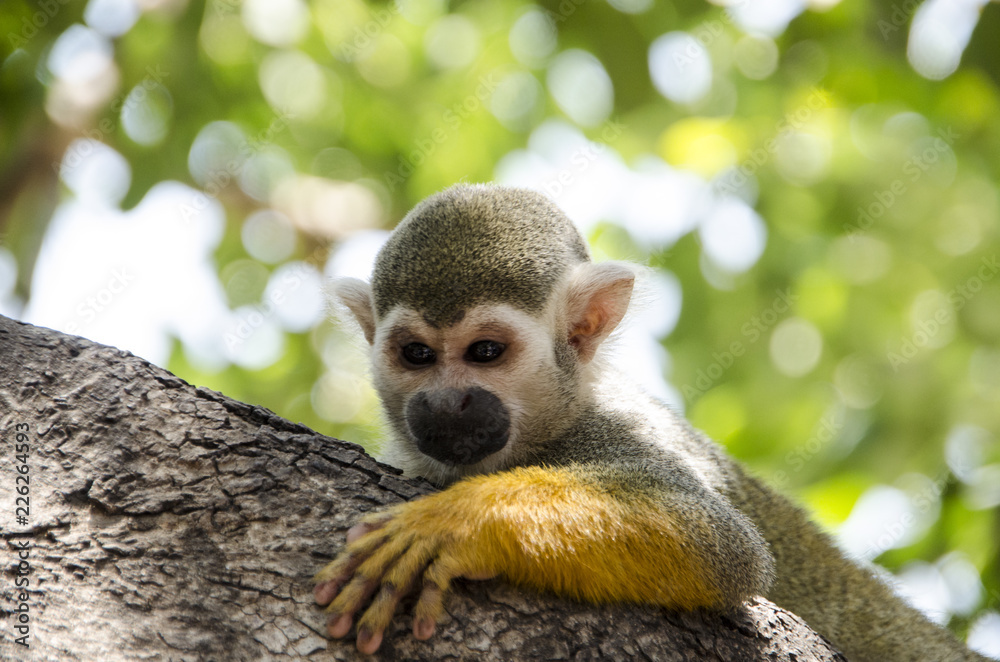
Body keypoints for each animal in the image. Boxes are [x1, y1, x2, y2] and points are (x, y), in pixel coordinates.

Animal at [313, 183, 988, 661]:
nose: (446, 404)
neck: (557, 418)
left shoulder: (616, 424)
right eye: (417, 355)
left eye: (484, 352)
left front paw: (462, 521)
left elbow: (720, 542)